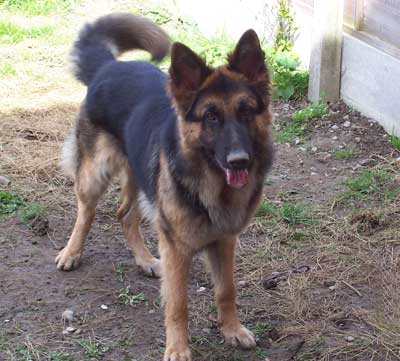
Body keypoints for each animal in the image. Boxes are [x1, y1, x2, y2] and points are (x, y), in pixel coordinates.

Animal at [57, 12, 274, 360]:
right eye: (211, 117)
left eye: (246, 111)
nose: (239, 161)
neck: (209, 184)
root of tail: (108, 66)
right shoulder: (175, 248)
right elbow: (177, 304)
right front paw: (178, 349)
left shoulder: (224, 240)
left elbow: (226, 290)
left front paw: (232, 330)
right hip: (95, 175)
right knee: (86, 213)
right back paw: (71, 253)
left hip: (139, 177)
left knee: (124, 215)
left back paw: (145, 261)